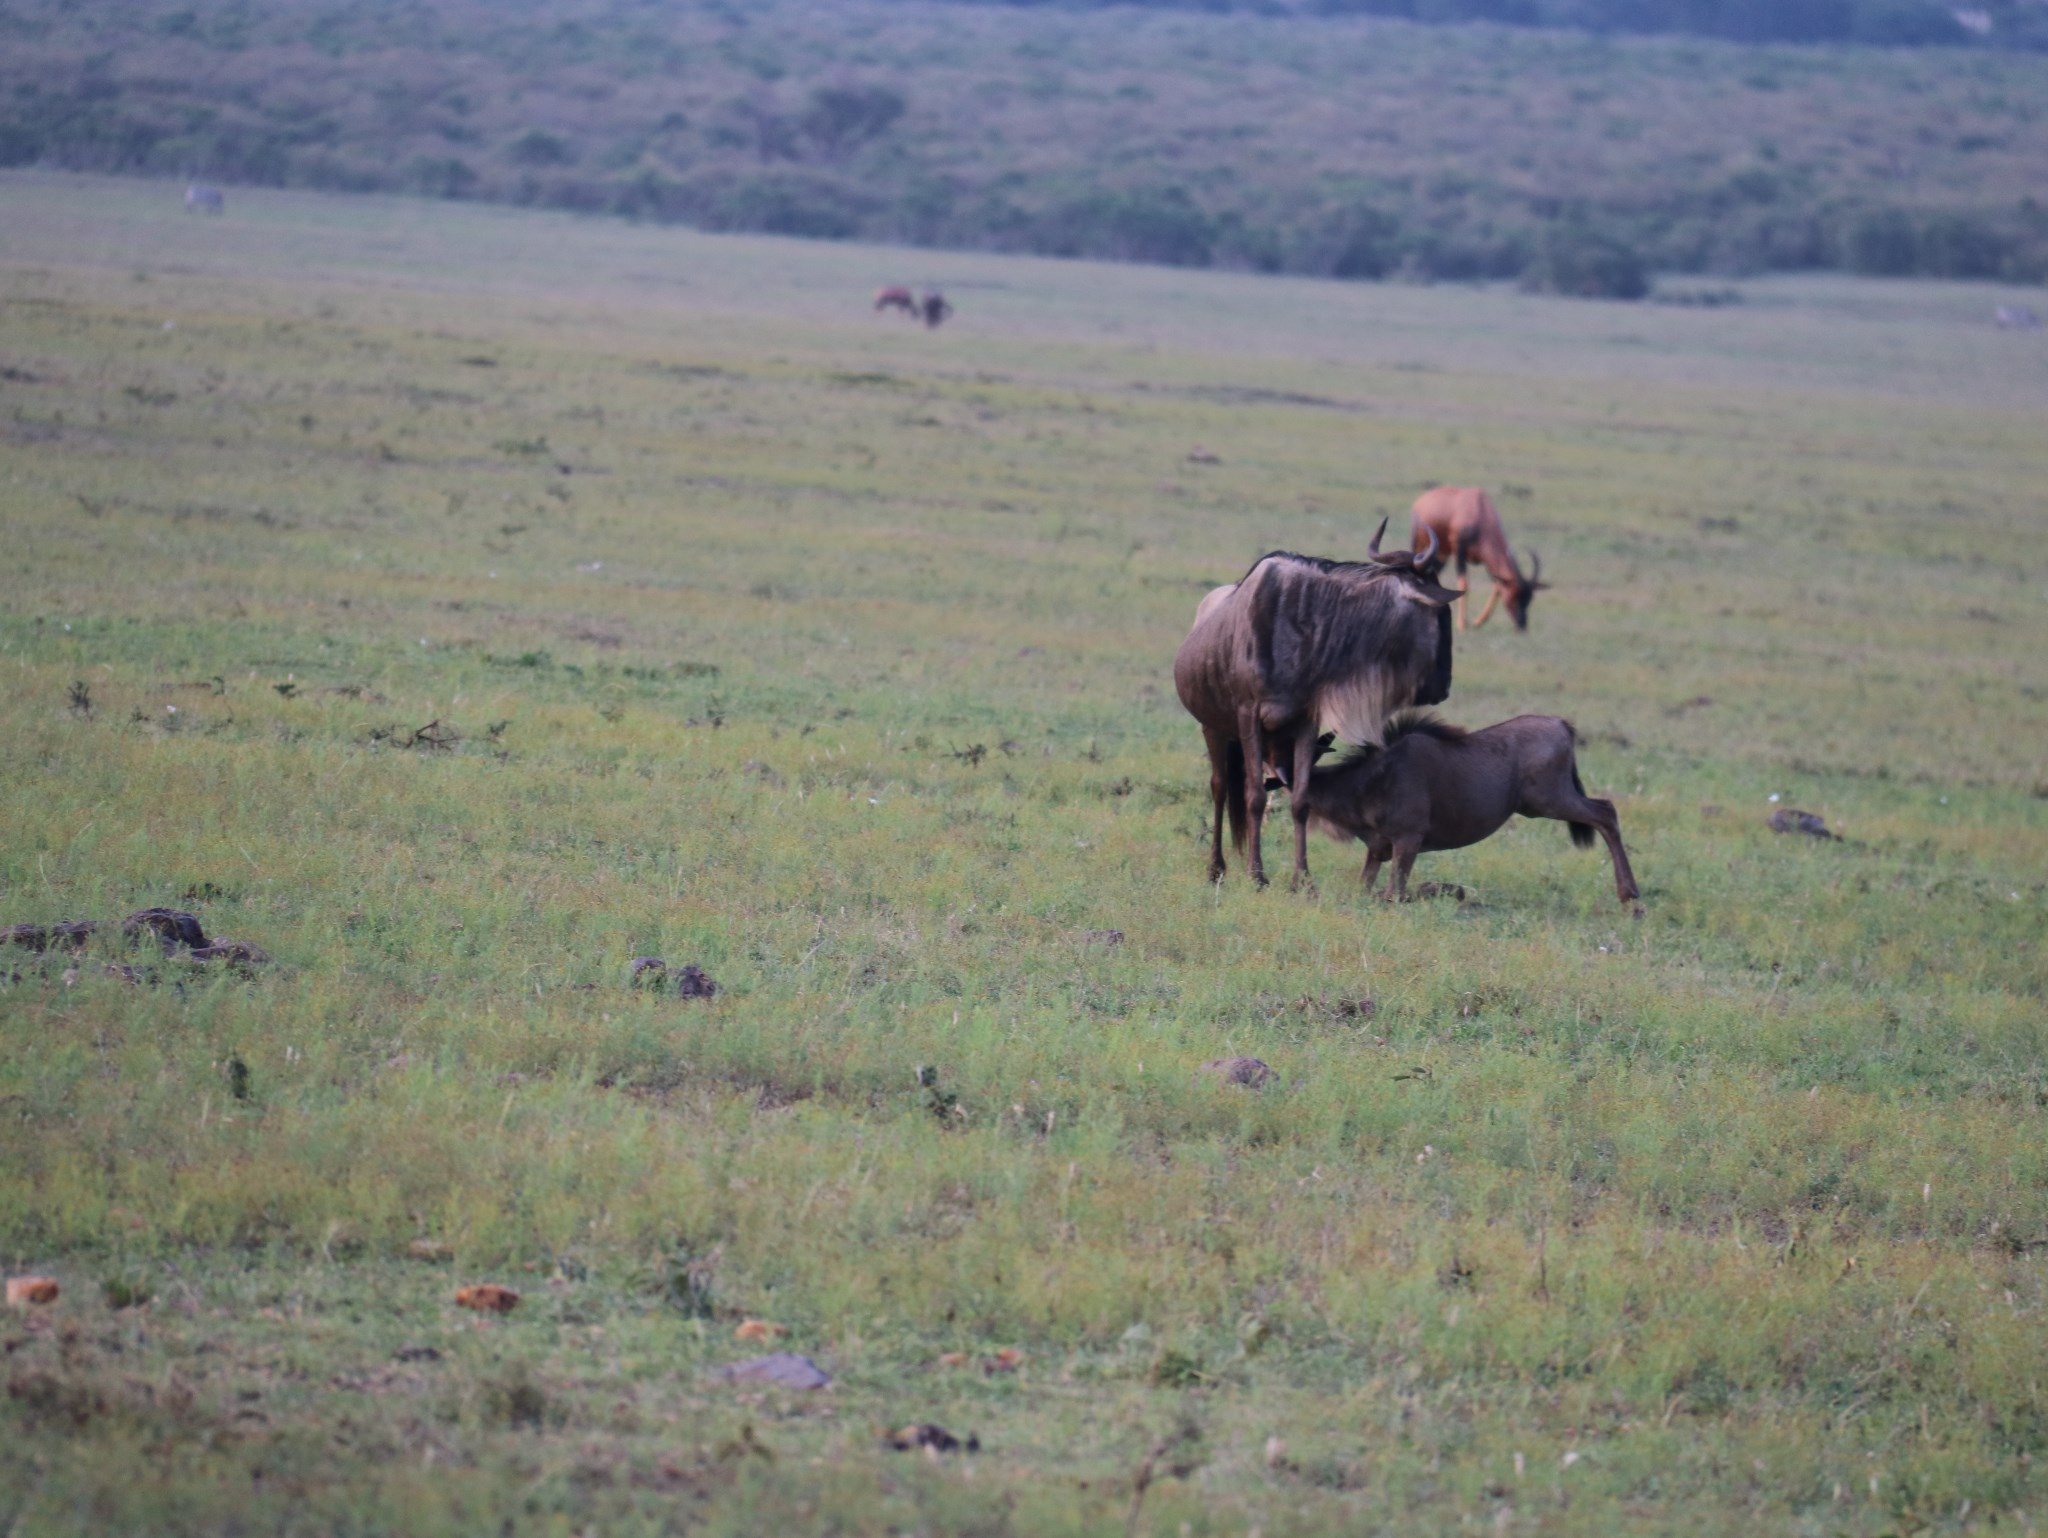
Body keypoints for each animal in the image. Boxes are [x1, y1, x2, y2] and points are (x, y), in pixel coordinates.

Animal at [1417, 487, 1540, 630]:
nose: (1522, 626)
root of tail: (1422, 500)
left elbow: (1497, 585)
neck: (1479, 509)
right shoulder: (1460, 551)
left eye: (1529, 598)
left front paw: (1477, 622)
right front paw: (1462, 625)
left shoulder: (1487, 561)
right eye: (1515, 594)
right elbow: (1463, 584)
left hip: (1441, 554)